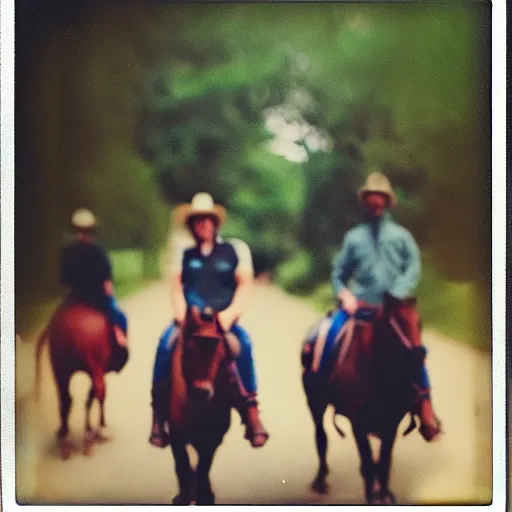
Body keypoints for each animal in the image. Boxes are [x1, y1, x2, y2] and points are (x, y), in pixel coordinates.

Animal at [35, 298, 127, 458]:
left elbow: (88, 398)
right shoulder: (99, 370)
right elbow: (94, 396)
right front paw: (98, 429)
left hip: (60, 370)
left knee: (66, 399)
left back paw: (65, 438)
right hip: (93, 369)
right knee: (98, 393)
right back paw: (95, 433)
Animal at [165, 306, 237, 506]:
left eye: (219, 347)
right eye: (189, 346)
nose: (201, 392)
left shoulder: (212, 439)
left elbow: (203, 468)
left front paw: (204, 495)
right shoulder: (176, 435)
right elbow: (182, 465)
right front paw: (183, 496)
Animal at [304, 292, 428, 504]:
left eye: (419, 323)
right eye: (396, 324)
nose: (419, 357)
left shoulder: (392, 424)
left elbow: (384, 464)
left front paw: (384, 494)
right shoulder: (358, 425)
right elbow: (369, 465)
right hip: (315, 403)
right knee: (321, 436)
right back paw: (320, 480)